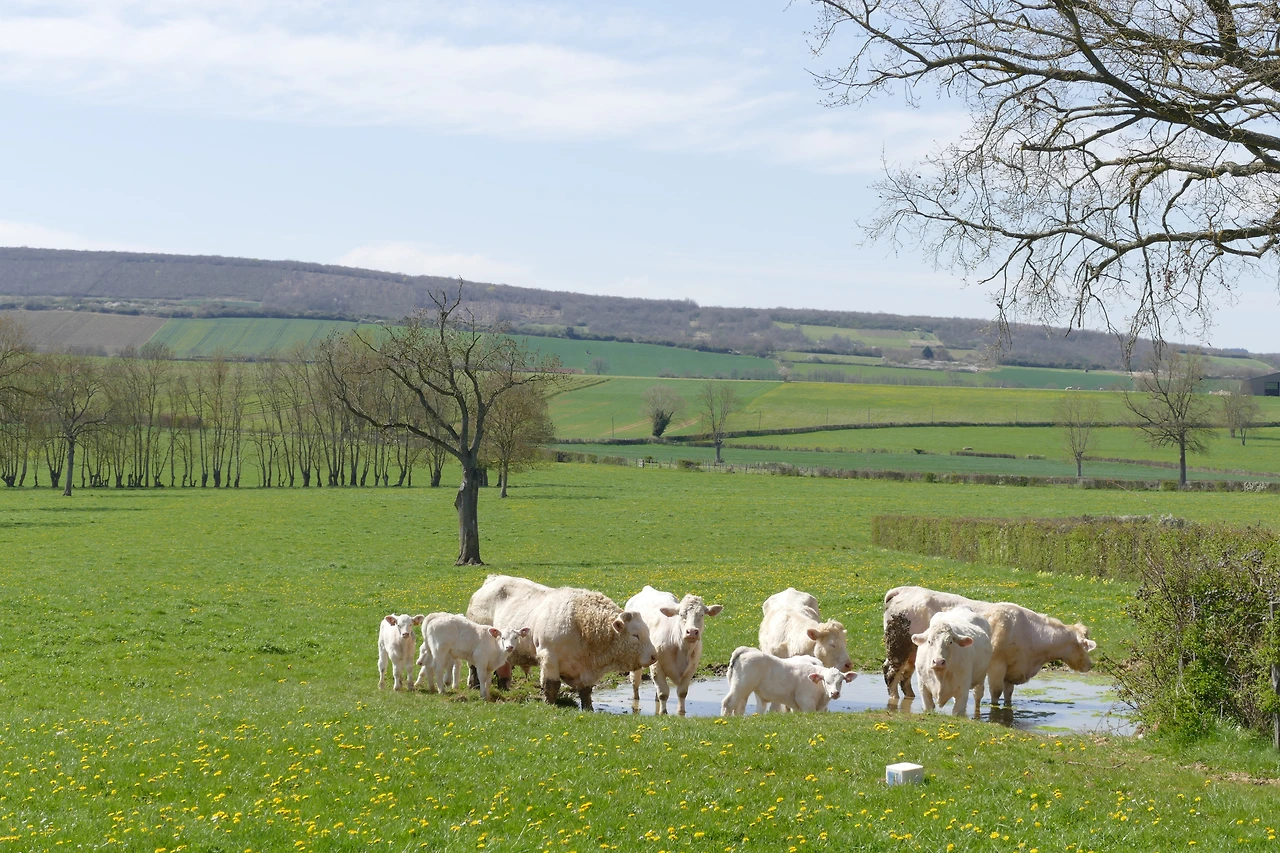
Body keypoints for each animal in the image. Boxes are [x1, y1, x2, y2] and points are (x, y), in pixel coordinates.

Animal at [466, 575, 658, 709]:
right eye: (635, 635)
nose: (654, 656)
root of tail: (492, 580)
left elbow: (586, 691)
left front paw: (588, 708)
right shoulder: (549, 658)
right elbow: (551, 685)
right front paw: (550, 704)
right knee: (474, 667)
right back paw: (474, 685)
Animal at [624, 585, 723, 715]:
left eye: (701, 615)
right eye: (681, 615)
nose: (692, 632)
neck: (681, 648)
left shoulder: (691, 669)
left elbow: (682, 692)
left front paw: (681, 712)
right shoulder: (657, 666)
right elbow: (663, 693)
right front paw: (662, 712)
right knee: (635, 681)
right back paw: (635, 700)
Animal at [720, 647, 856, 716]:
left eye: (841, 681)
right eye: (826, 681)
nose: (835, 693)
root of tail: (747, 650)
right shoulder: (806, 703)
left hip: (743, 690)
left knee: (738, 708)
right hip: (741, 686)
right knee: (728, 703)